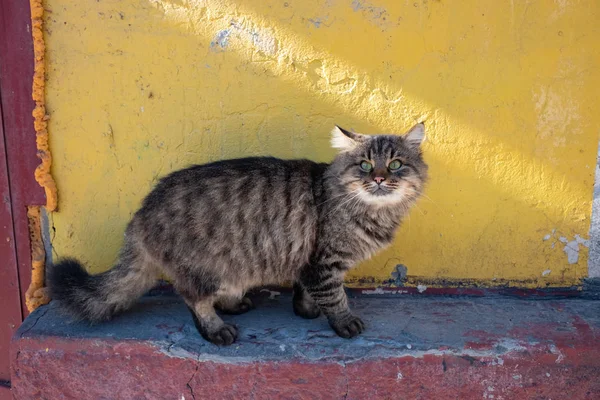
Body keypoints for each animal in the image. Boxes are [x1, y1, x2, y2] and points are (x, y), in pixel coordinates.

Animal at [49, 123, 428, 346]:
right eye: (365, 165)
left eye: (395, 165)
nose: (378, 178)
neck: (374, 211)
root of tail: (142, 212)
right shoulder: (325, 261)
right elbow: (335, 297)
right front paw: (344, 322)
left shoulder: (307, 259)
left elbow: (306, 291)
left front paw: (306, 310)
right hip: (202, 269)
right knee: (195, 301)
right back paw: (216, 329)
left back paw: (235, 304)